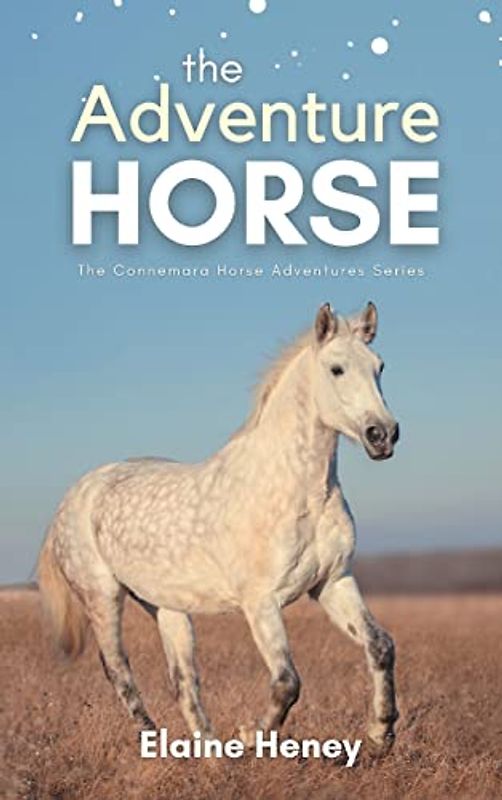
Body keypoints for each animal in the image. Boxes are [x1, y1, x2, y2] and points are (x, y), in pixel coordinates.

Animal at [38, 301, 400, 754]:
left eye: (380, 366)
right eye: (336, 369)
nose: (383, 435)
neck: (301, 493)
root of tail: (75, 494)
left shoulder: (332, 583)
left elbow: (380, 646)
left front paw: (381, 732)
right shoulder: (260, 602)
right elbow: (287, 683)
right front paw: (249, 739)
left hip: (166, 606)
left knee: (183, 681)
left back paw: (210, 754)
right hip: (102, 597)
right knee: (119, 672)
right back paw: (160, 743)